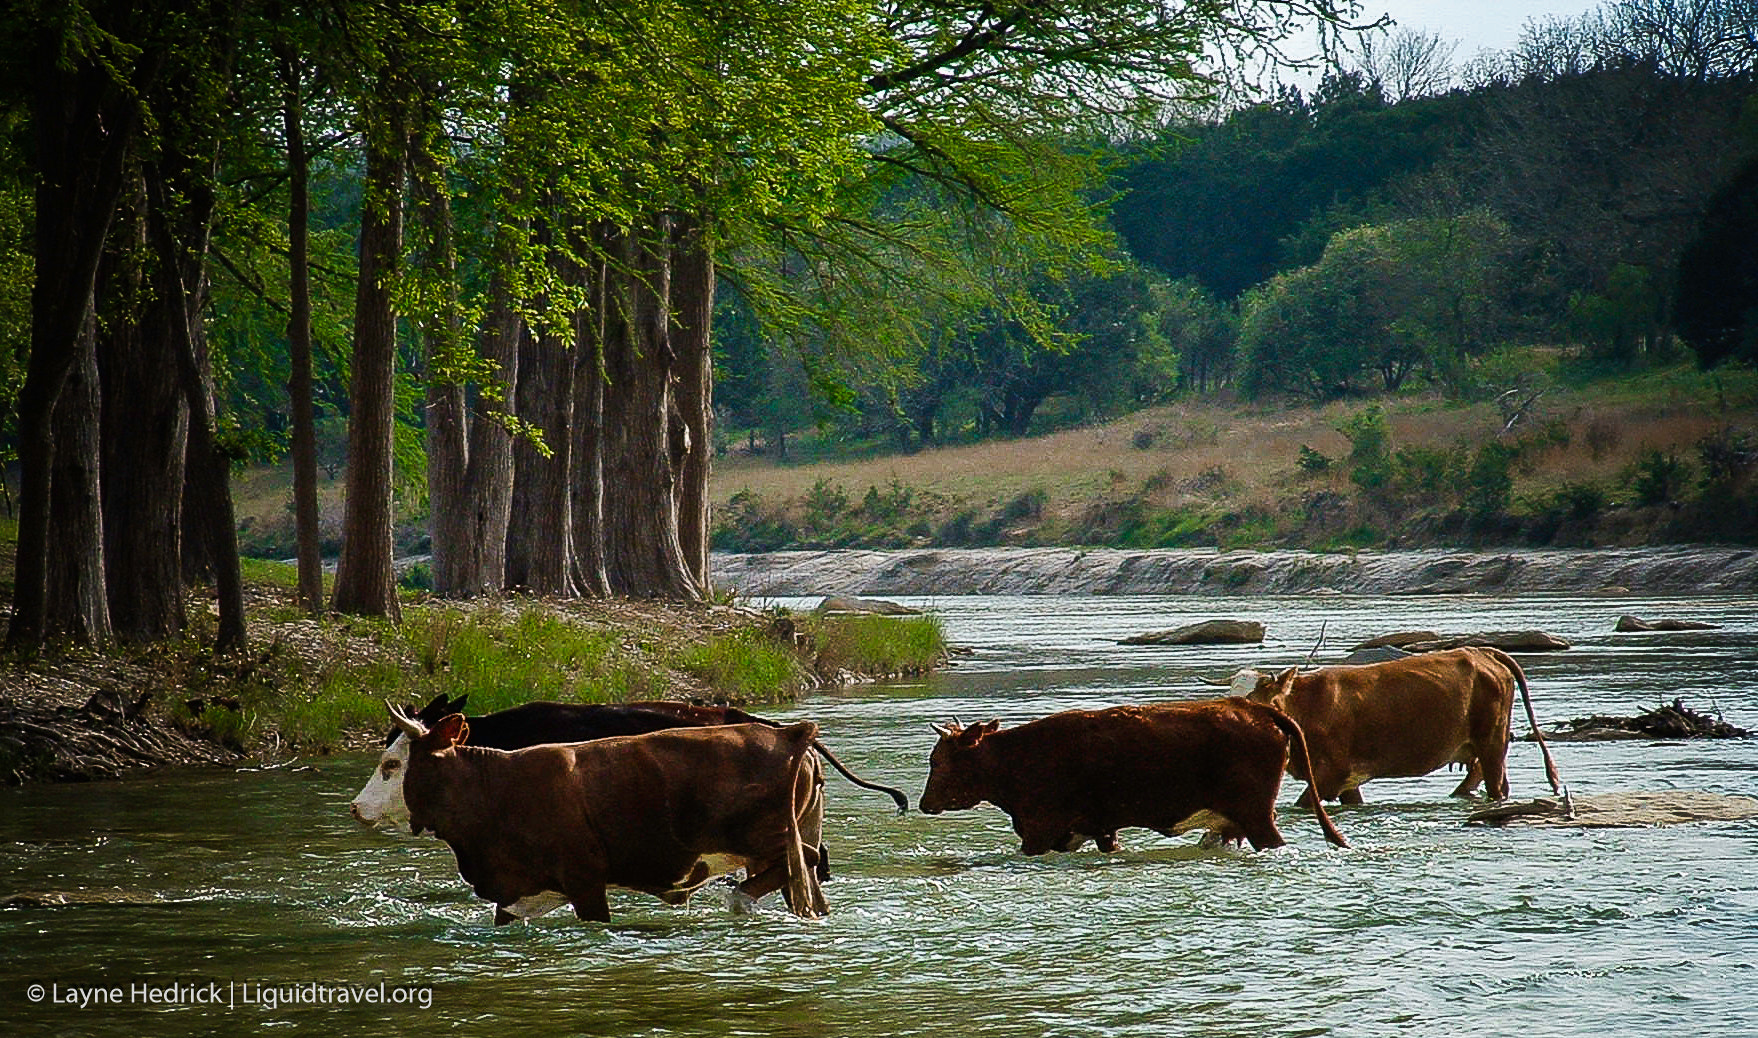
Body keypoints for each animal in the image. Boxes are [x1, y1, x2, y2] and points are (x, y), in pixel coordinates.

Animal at [356, 707, 829, 928]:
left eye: (392, 765)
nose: (356, 808)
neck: (497, 787)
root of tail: (788, 732)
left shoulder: (585, 881)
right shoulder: (516, 893)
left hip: (768, 840)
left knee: (804, 858)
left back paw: (741, 900)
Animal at [921, 700, 1343, 855]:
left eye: (936, 761)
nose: (924, 803)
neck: (1017, 758)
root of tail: (1251, 708)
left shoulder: (1040, 832)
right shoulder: (1099, 829)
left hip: (1257, 816)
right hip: (1233, 824)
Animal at [1223, 647, 1568, 809]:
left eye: (1261, 701)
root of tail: (1480, 651)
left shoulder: (1331, 773)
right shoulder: (1347, 779)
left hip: (1492, 738)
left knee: (1497, 785)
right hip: (1479, 745)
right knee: (1478, 775)